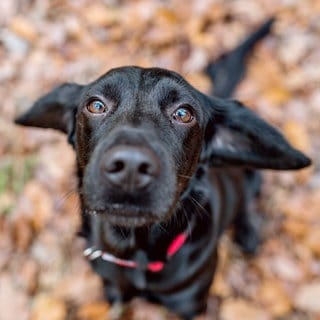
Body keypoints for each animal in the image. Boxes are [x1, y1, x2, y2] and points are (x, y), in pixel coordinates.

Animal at [15, 20, 310, 320]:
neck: (137, 252)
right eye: (96, 105)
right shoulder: (114, 290)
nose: (131, 167)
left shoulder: (189, 305)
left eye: (183, 113)